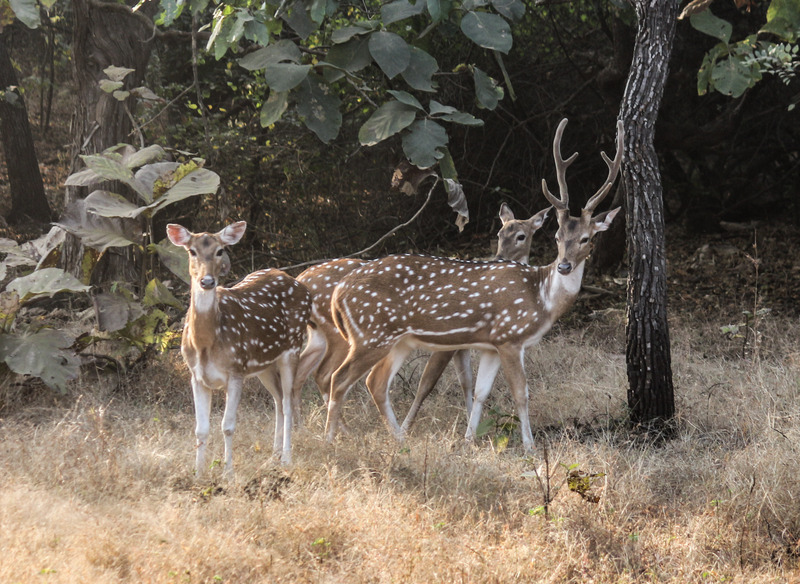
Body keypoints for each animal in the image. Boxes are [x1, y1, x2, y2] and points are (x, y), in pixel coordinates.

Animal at [166, 220, 310, 474]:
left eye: (220, 251)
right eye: (191, 251)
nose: (207, 281)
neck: (206, 344)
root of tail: (302, 287)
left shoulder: (235, 370)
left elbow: (228, 426)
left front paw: (228, 472)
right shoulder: (196, 375)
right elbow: (200, 429)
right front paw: (198, 473)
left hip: (292, 348)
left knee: (288, 402)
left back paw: (286, 458)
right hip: (264, 364)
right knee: (277, 400)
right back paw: (272, 456)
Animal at [292, 203, 552, 432]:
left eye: (521, 236)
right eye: (499, 234)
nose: (501, 257)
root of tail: (302, 279)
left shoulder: (464, 342)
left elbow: (467, 381)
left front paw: (471, 426)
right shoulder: (448, 340)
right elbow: (428, 382)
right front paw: (408, 427)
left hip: (320, 335)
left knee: (306, 370)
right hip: (343, 336)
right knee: (326, 374)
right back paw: (341, 430)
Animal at [324, 117, 624, 448]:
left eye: (586, 239)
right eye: (557, 237)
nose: (564, 265)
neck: (541, 298)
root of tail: (338, 294)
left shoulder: (491, 344)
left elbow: (481, 392)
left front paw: (468, 440)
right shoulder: (509, 336)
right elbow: (521, 393)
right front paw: (530, 447)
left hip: (397, 339)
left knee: (374, 382)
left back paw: (400, 439)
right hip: (371, 333)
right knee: (339, 379)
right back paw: (330, 439)